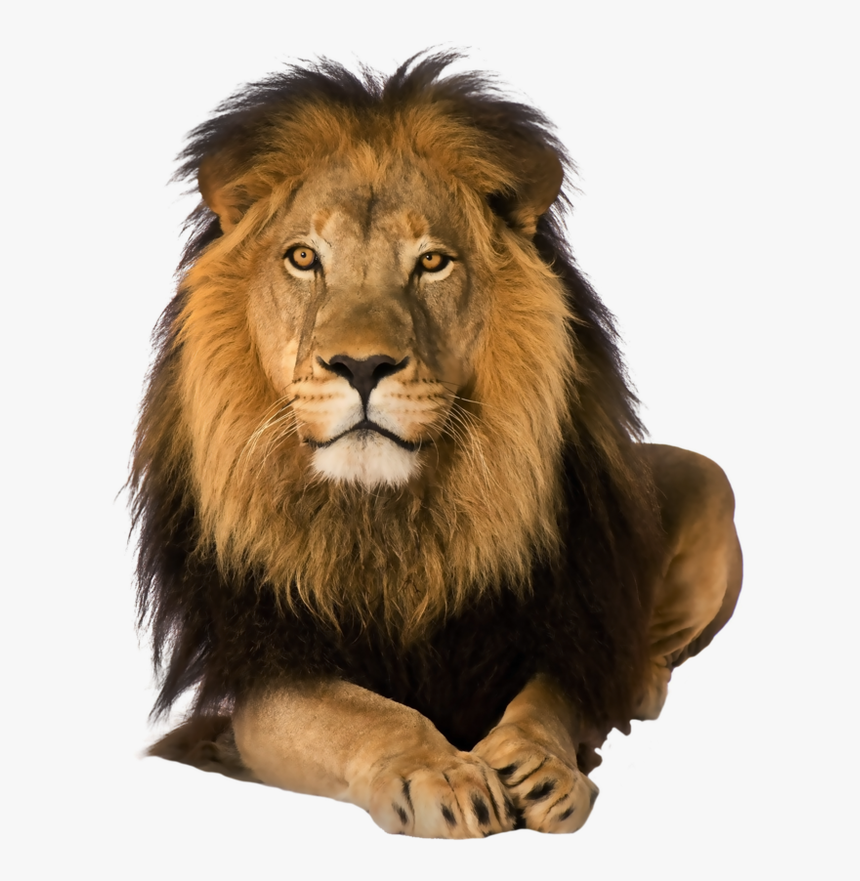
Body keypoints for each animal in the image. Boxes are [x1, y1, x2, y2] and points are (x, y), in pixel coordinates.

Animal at [133, 52, 742, 838]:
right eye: (303, 257)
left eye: (431, 262)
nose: (362, 365)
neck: (391, 519)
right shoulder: (267, 670)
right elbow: (363, 713)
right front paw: (443, 772)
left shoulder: (562, 626)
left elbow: (549, 699)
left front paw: (541, 765)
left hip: (708, 477)